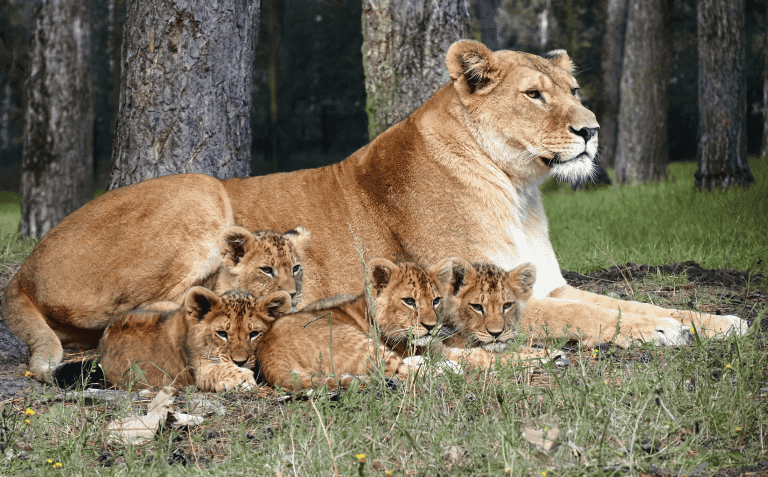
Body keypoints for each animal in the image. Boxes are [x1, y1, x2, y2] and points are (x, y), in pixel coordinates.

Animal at [0, 40, 744, 380]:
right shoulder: (475, 293)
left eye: (575, 90)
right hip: (199, 189)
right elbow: (602, 316)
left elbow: (632, 301)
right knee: (141, 323)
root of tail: (24, 269)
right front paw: (662, 333)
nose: (591, 130)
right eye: (535, 95)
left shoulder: (549, 283)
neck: (519, 187)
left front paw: (719, 321)